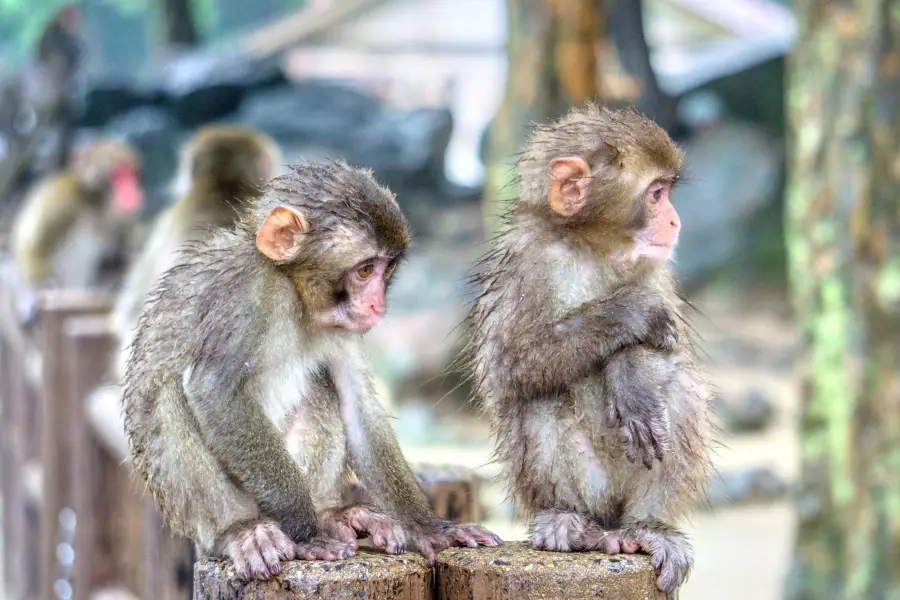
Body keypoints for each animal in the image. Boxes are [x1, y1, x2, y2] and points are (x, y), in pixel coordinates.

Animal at [10, 139, 142, 292]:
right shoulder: (61, 199)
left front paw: (129, 253)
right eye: (118, 175)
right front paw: (41, 280)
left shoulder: (118, 216)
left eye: (130, 171)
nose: (134, 192)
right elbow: (31, 239)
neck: (94, 202)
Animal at [121, 159, 500, 580]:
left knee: (321, 388)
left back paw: (330, 513)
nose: (377, 305)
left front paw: (429, 528)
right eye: (365, 271)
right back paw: (241, 531)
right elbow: (215, 392)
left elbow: (359, 406)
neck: (294, 293)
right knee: (168, 398)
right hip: (200, 515)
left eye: (387, 270)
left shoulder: (340, 327)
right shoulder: (246, 293)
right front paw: (306, 536)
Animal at [464, 104, 712, 596]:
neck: (592, 247)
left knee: (678, 391)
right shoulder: (529, 263)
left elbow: (669, 356)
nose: (675, 221)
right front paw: (631, 312)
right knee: (540, 398)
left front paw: (631, 378)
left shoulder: (657, 269)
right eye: (656, 194)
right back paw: (569, 520)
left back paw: (647, 528)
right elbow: (509, 366)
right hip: (590, 491)